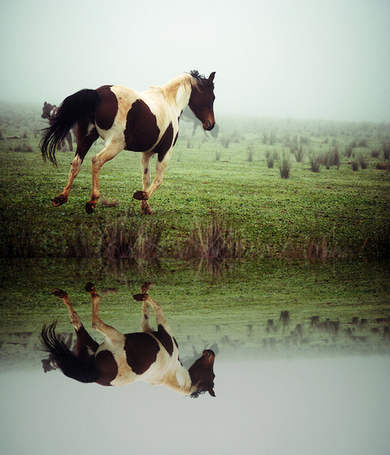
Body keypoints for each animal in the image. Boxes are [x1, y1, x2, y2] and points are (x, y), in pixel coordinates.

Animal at [40, 70, 216, 216]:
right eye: (212, 97)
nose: (210, 124)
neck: (169, 102)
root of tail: (97, 94)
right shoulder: (166, 151)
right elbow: (158, 180)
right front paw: (141, 196)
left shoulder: (147, 153)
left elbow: (146, 178)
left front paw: (146, 207)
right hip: (114, 144)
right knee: (96, 161)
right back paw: (92, 201)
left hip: (86, 138)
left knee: (76, 163)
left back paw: (61, 197)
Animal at [40, 284, 216, 398]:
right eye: (212, 374)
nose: (210, 352)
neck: (175, 375)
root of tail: (95, 374)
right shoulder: (148, 328)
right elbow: (147, 312)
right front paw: (143, 291)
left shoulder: (163, 329)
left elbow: (157, 307)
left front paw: (142, 294)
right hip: (88, 346)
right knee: (78, 322)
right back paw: (63, 293)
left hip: (113, 337)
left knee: (93, 322)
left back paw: (91, 292)